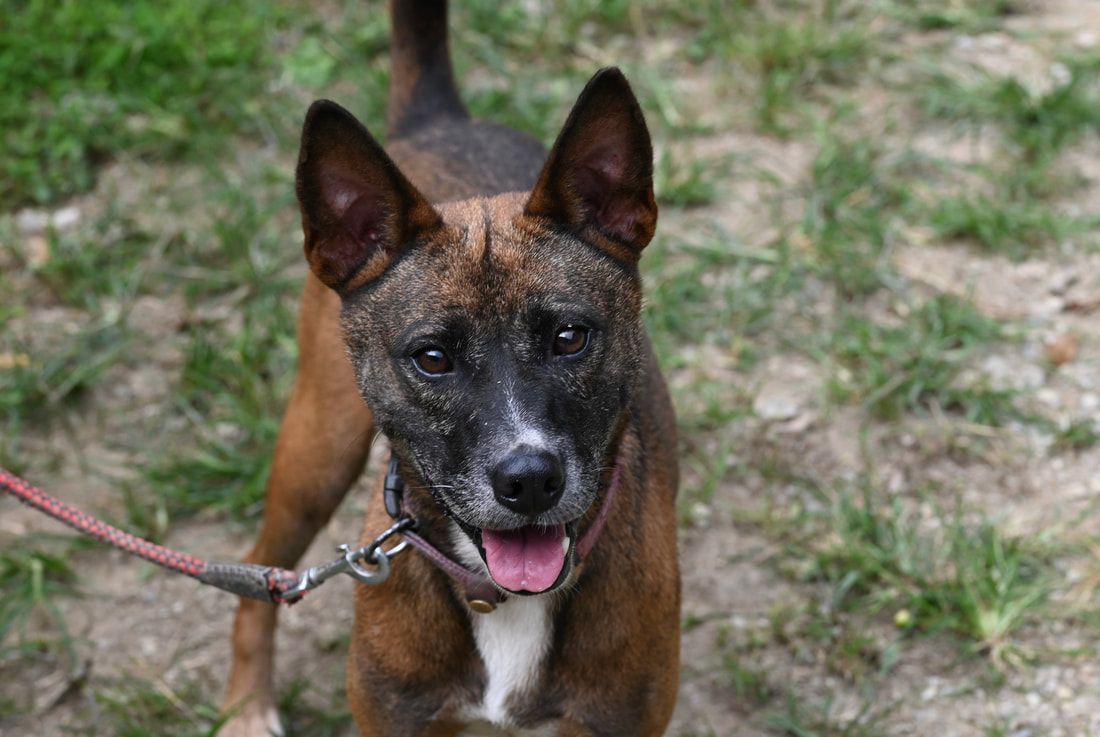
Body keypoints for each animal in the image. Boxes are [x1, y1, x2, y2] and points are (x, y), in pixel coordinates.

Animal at [223, 2, 677, 734]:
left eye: (570, 337)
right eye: (432, 358)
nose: (529, 481)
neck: (507, 599)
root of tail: (441, 119)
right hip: (316, 453)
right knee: (260, 579)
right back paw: (244, 706)